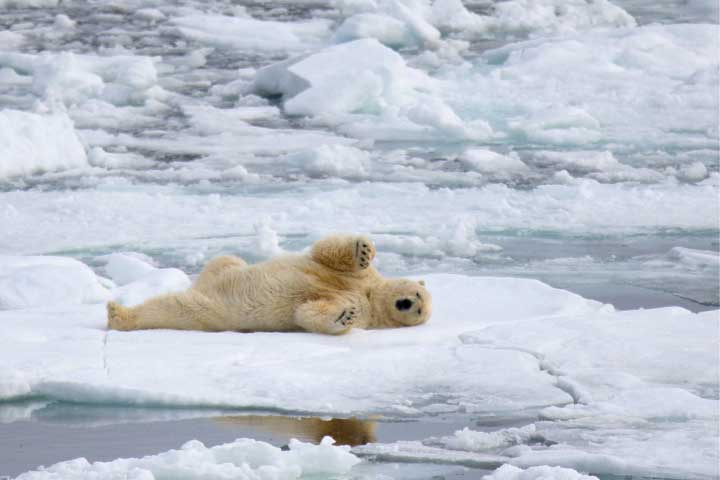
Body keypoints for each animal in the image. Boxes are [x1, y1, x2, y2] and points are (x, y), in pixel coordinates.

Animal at [106, 234, 431, 335]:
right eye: (417, 294)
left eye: (419, 311)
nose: (409, 303)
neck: (370, 293)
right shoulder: (356, 278)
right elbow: (327, 253)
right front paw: (362, 249)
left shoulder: (364, 311)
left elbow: (310, 312)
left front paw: (343, 315)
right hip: (220, 271)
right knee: (226, 261)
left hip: (210, 311)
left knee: (173, 307)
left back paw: (119, 315)